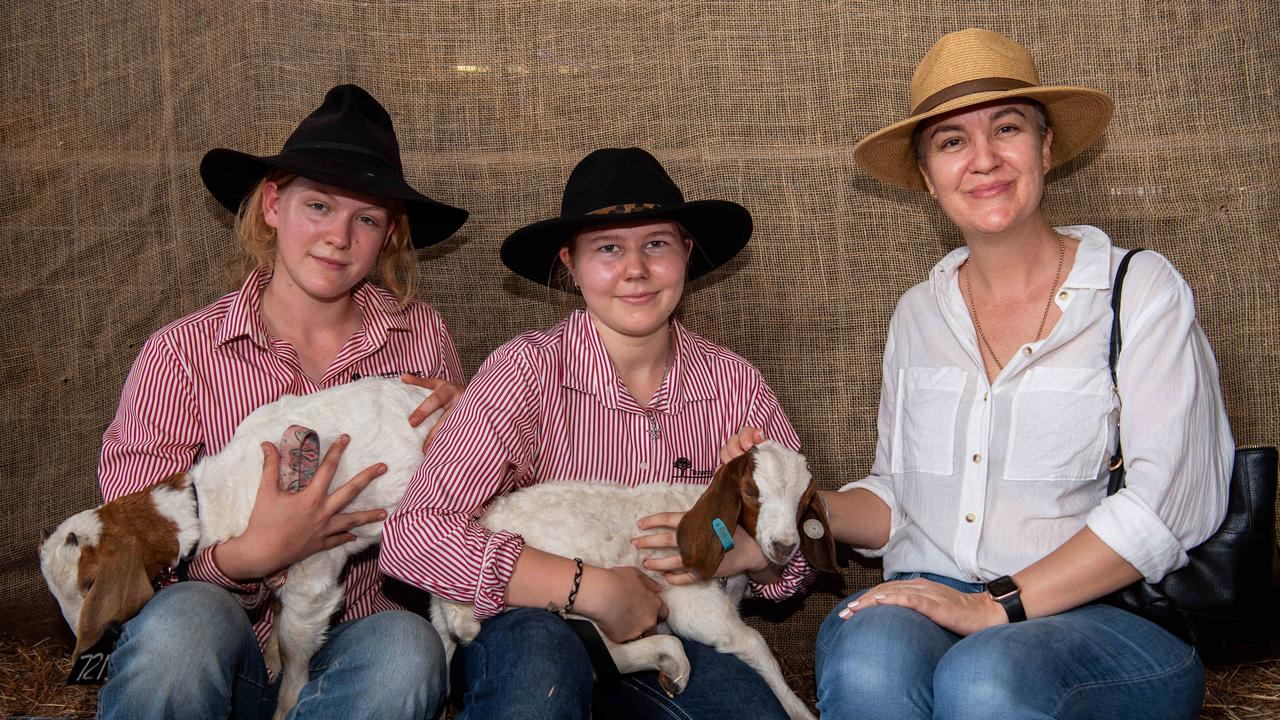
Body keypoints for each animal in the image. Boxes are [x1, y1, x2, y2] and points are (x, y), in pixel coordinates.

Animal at [40, 376, 440, 717]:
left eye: (87, 584)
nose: (80, 640)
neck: (206, 503)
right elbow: (277, 620)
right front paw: (271, 660)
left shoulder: (313, 576)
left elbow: (295, 648)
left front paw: (283, 705)